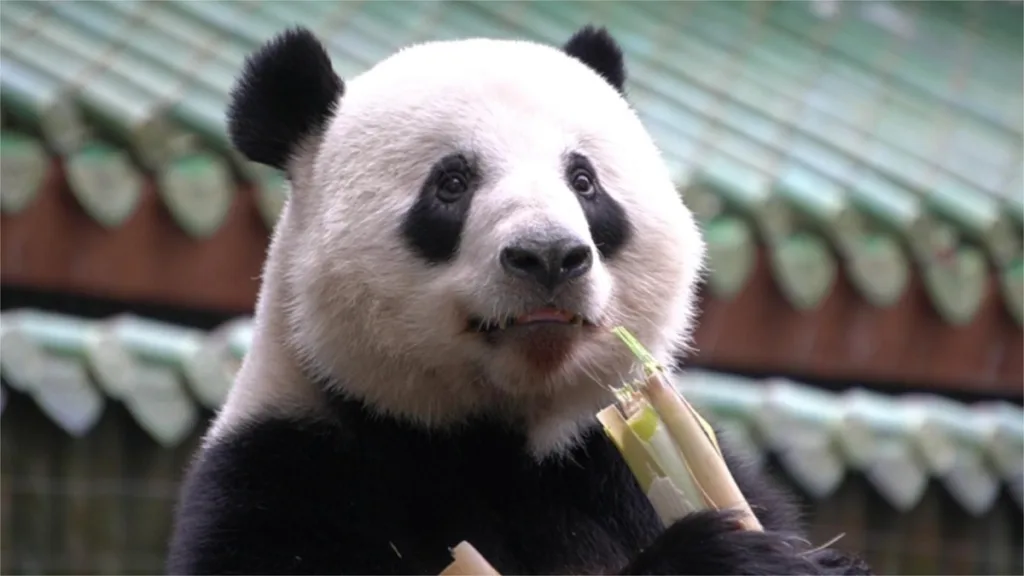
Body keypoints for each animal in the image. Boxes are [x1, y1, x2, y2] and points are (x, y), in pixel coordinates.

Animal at [166, 25, 871, 576]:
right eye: (452, 183)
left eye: (583, 180)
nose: (550, 256)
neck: (499, 439)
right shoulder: (285, 477)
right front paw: (721, 559)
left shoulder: (602, 463)